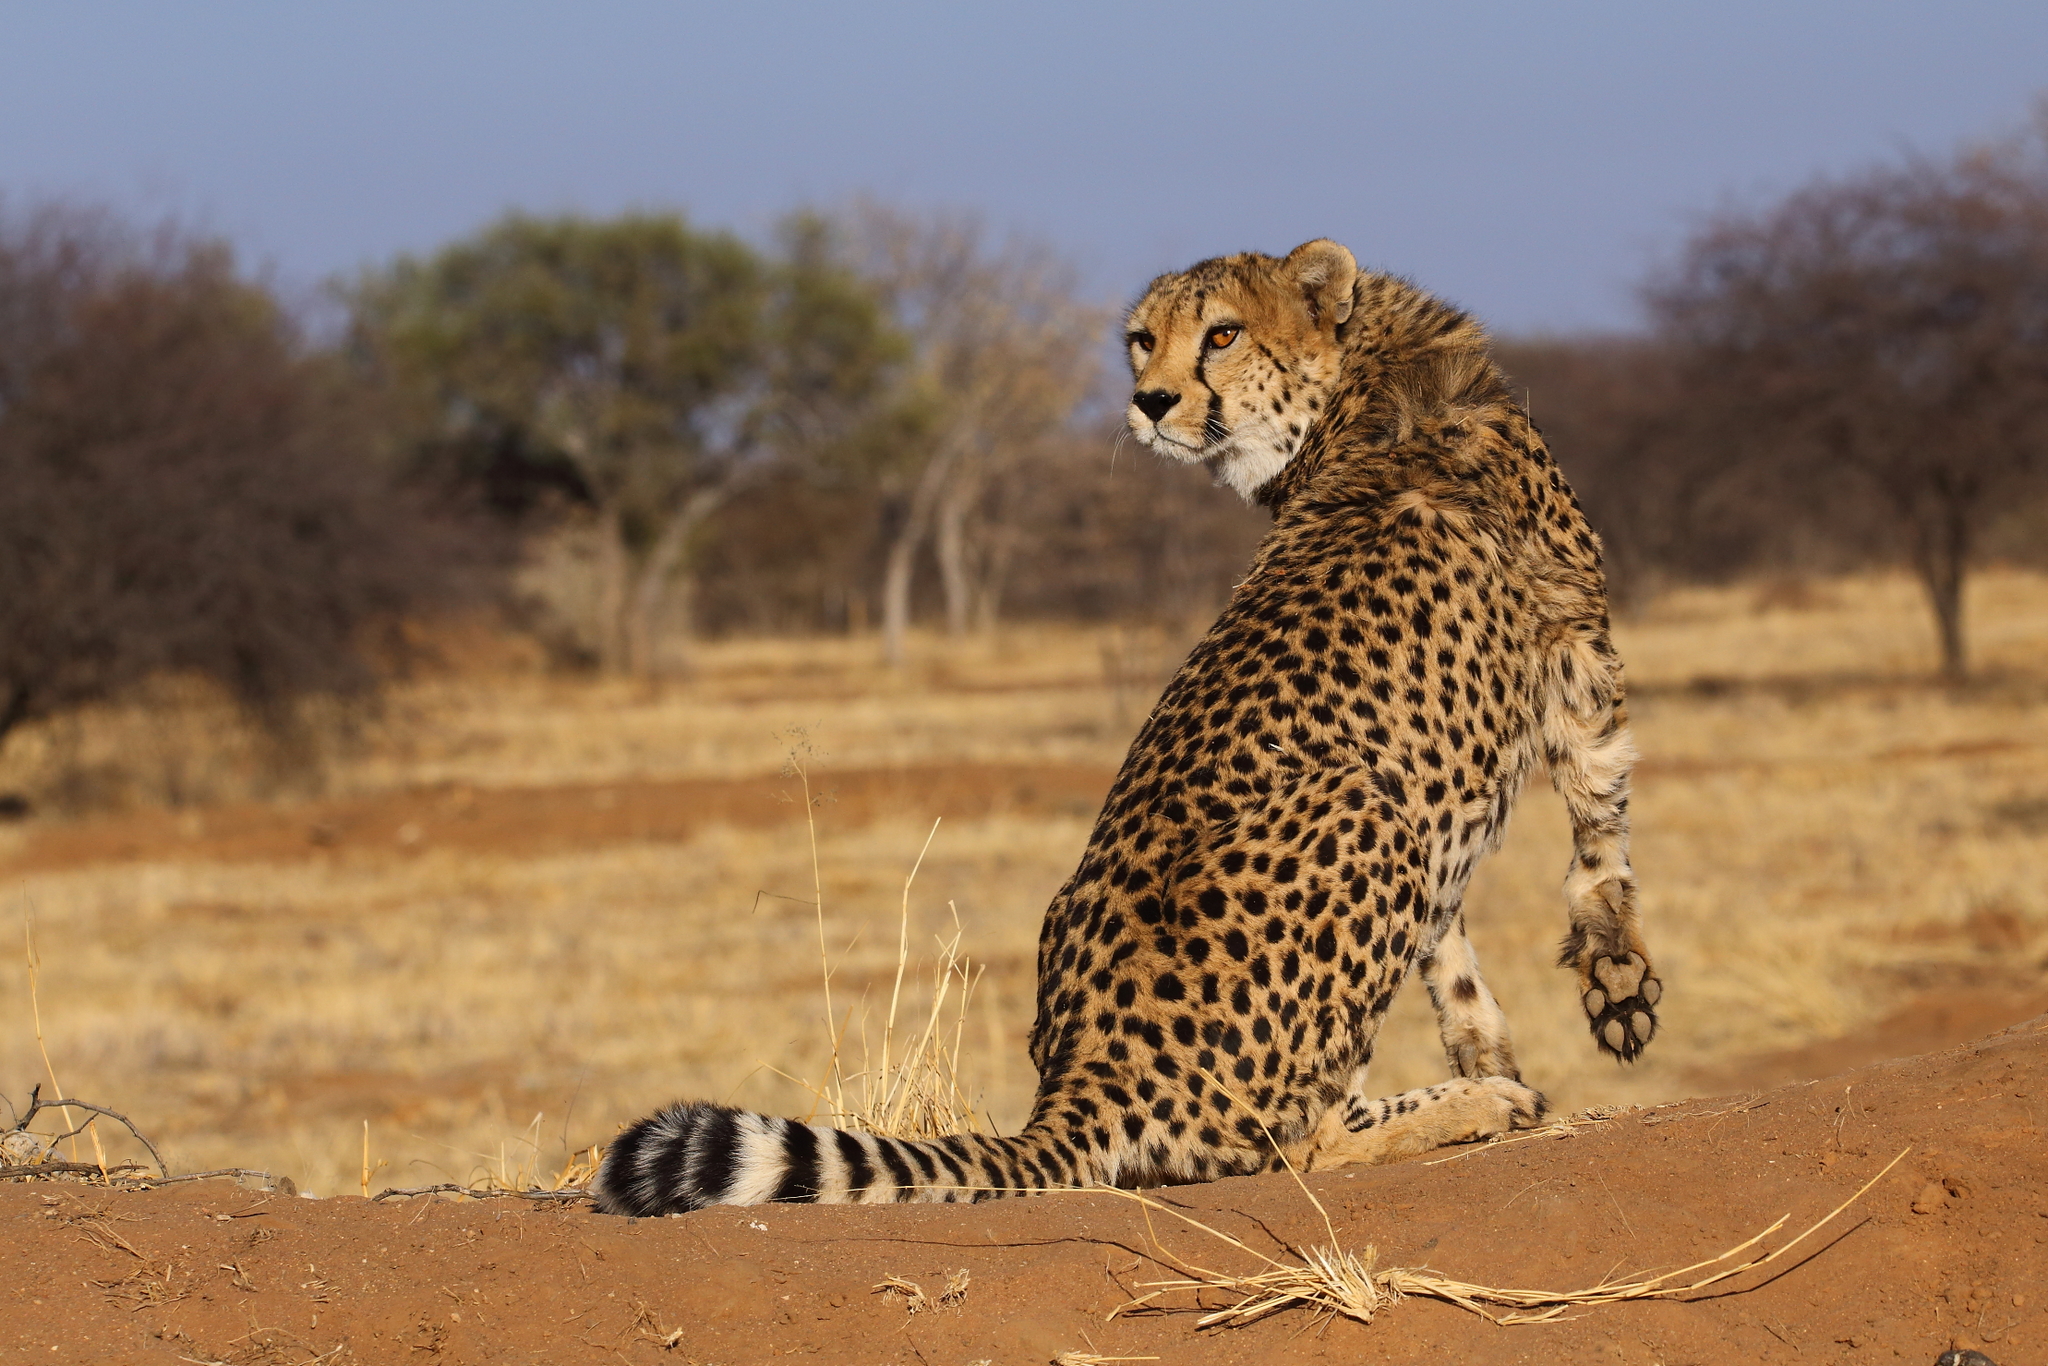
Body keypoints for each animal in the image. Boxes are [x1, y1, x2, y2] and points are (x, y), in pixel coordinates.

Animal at [592, 238, 1659, 1215]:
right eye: (1144, 340)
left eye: (1222, 335)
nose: (1148, 401)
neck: (1364, 379)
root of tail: (1083, 1072)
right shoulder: (1573, 649)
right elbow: (1600, 821)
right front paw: (1609, 980)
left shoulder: (1463, 780)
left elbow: (1454, 943)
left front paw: (1499, 1042)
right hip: (1366, 802)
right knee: (1298, 1145)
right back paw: (1476, 1107)